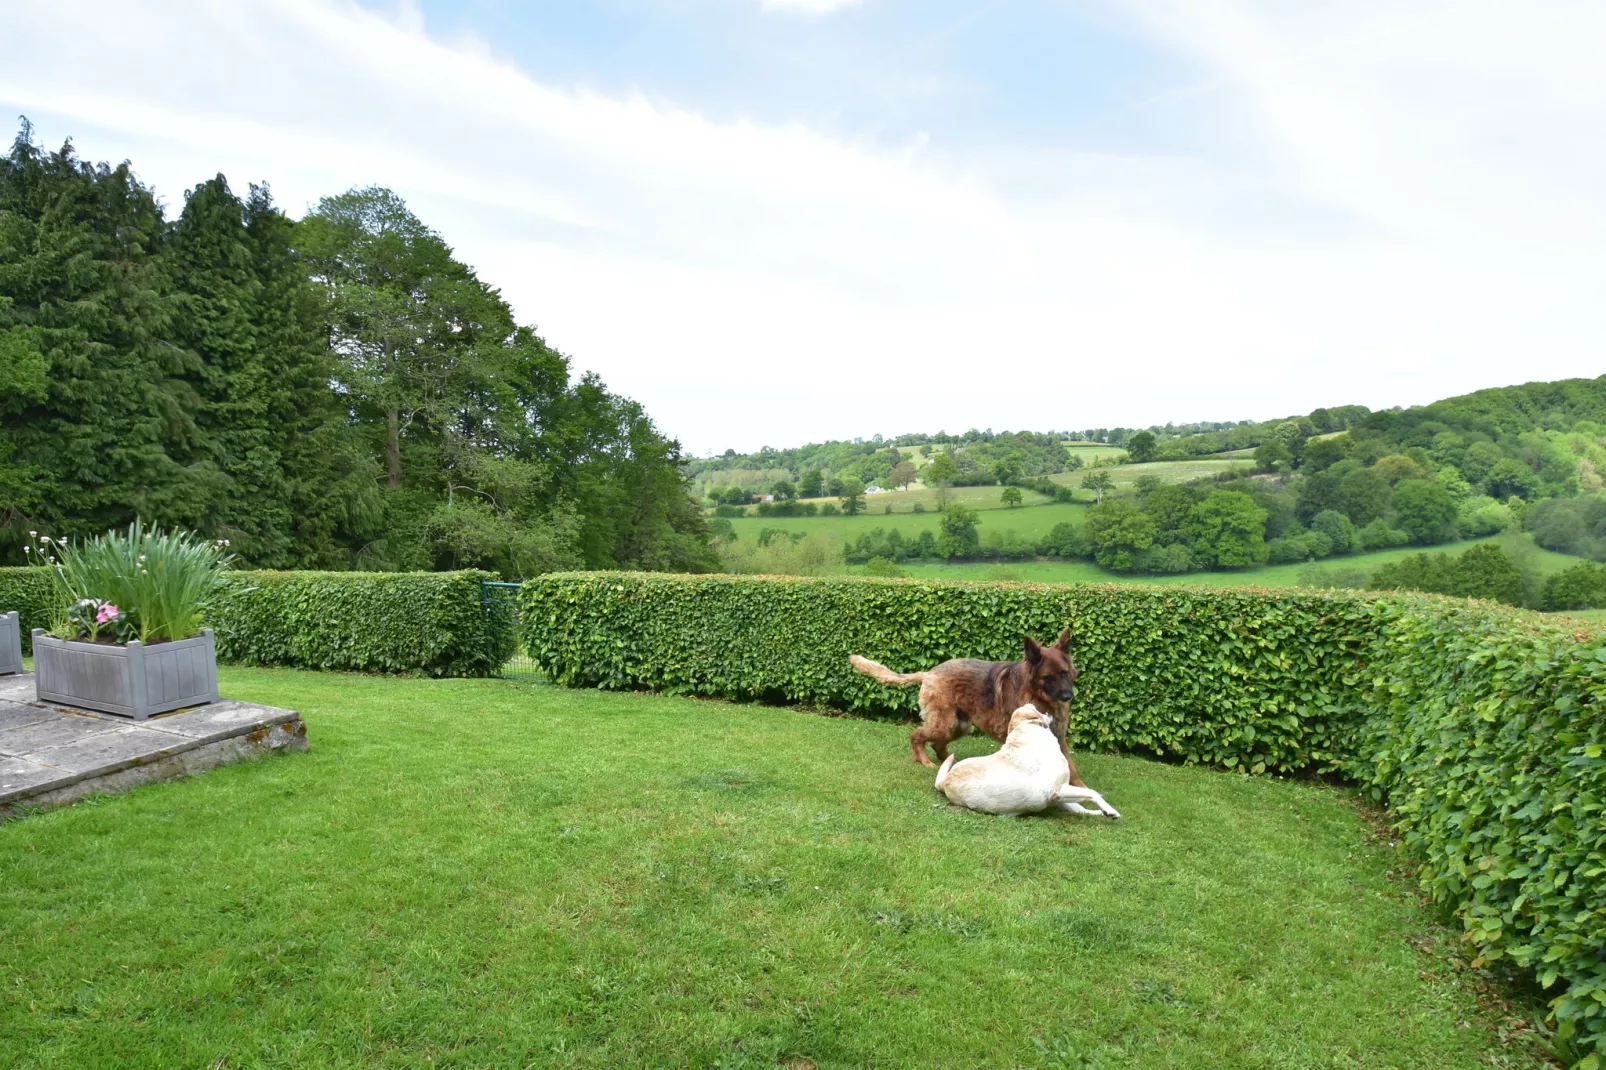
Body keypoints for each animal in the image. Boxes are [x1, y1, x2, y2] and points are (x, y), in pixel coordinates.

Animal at [847, 626, 1085, 784]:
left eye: (1064, 673)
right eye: (1048, 677)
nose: (1068, 696)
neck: (1040, 697)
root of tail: (929, 673)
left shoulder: (1059, 739)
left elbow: (1072, 769)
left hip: (959, 726)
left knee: (937, 745)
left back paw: (948, 761)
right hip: (945, 723)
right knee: (916, 735)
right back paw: (923, 760)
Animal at [937, 700, 1124, 816]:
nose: (1033, 703)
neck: (1024, 728)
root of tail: (945, 780)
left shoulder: (1057, 795)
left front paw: (1105, 811)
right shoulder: (1056, 790)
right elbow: (1093, 792)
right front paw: (1111, 811)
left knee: (1080, 810)